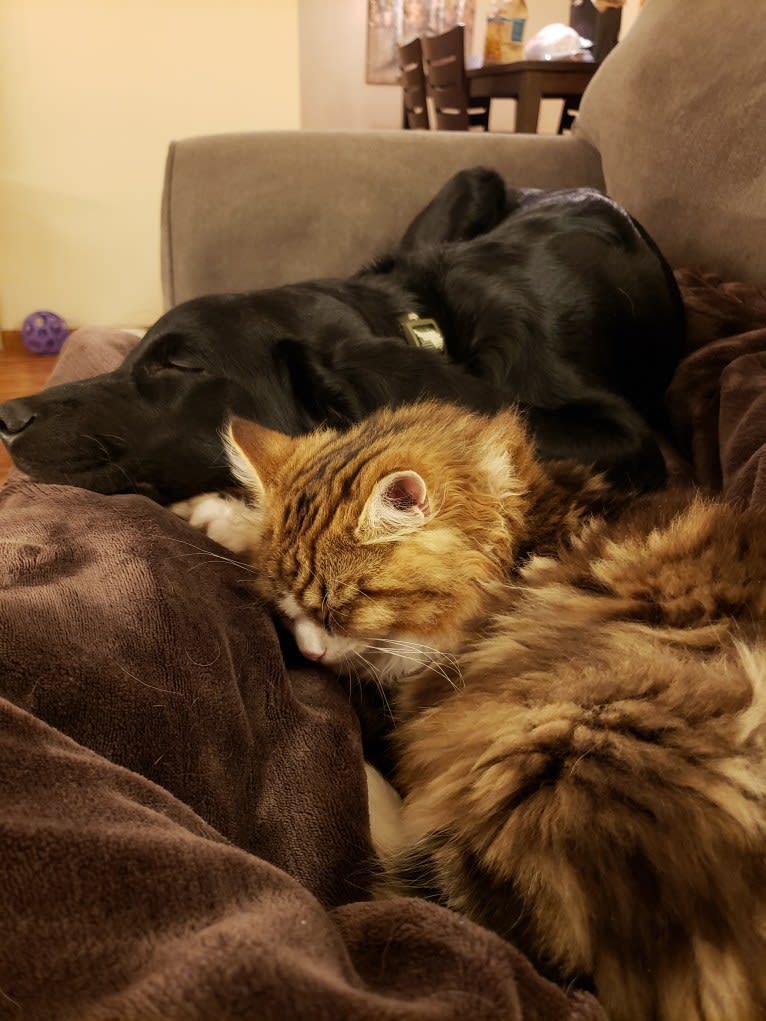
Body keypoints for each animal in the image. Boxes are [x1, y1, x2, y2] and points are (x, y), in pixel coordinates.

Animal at [221, 398, 766, 1021]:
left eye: (341, 608)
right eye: (285, 609)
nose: (308, 652)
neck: (530, 533)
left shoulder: (419, 675)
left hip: (564, 740)